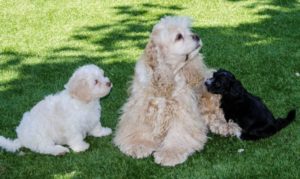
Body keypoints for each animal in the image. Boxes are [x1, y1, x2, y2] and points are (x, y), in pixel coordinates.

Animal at [113, 16, 240, 166]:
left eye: (189, 31)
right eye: (179, 36)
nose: (197, 36)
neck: (167, 75)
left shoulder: (182, 109)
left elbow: (179, 133)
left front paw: (169, 154)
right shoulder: (141, 106)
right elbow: (139, 128)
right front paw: (138, 145)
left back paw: (226, 127)